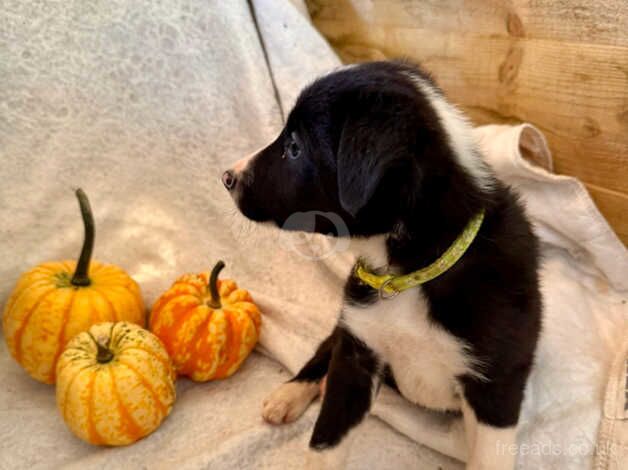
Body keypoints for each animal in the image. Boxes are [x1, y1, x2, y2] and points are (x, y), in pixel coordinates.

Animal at [223, 62, 544, 470]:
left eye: (295, 147)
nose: (226, 177)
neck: (407, 275)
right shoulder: (357, 350)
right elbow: (326, 439)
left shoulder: (495, 384)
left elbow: (488, 458)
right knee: (325, 346)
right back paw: (290, 393)